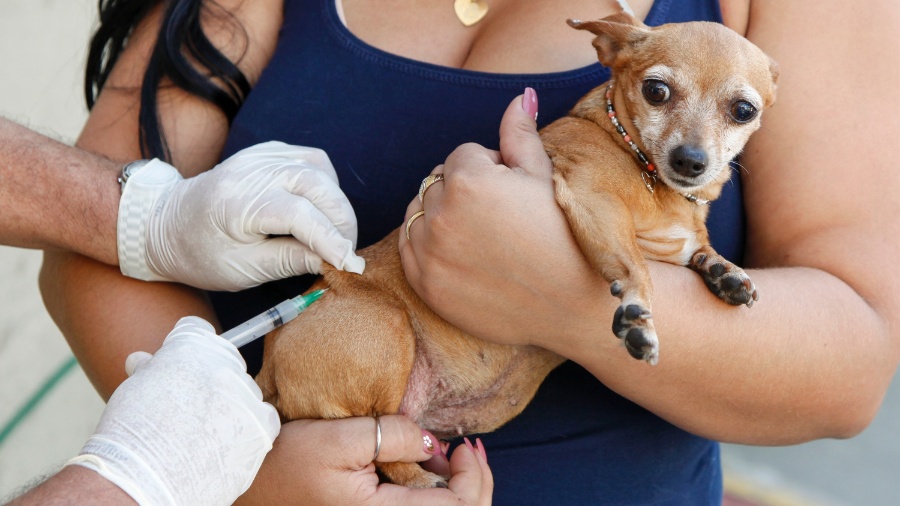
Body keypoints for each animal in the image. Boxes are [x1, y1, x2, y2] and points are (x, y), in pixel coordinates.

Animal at [256, 13, 776, 488]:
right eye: (657, 91)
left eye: (743, 110)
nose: (691, 160)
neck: (649, 175)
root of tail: (268, 361)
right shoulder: (594, 202)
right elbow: (633, 265)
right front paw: (637, 314)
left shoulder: (679, 242)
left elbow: (698, 252)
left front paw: (726, 273)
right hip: (387, 333)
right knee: (384, 446)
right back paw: (422, 480)